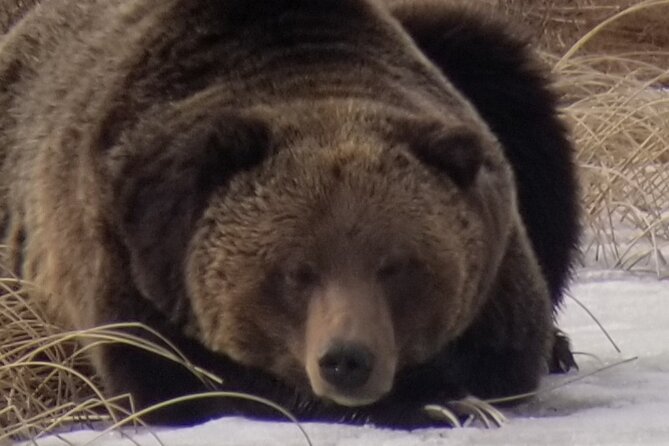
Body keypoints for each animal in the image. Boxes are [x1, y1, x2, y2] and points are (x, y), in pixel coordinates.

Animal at [0, 0, 580, 428]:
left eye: (396, 266)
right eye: (297, 271)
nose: (347, 360)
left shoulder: (498, 263)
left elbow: (505, 355)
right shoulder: (128, 252)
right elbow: (180, 382)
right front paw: (436, 402)